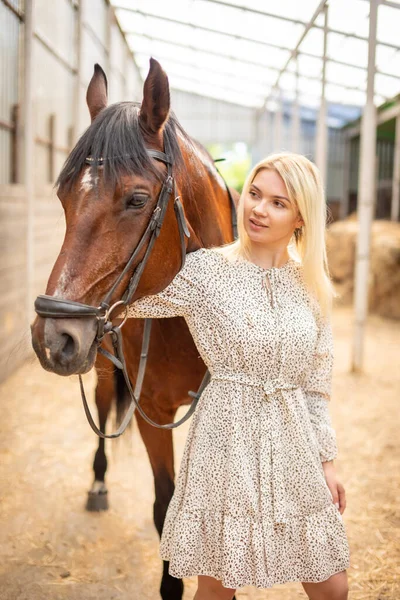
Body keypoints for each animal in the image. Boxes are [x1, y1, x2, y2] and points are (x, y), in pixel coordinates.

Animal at [32, 57, 238, 600]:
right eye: (63, 197)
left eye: (137, 199)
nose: (52, 338)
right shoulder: (151, 412)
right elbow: (165, 508)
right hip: (104, 368)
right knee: (104, 407)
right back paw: (99, 483)